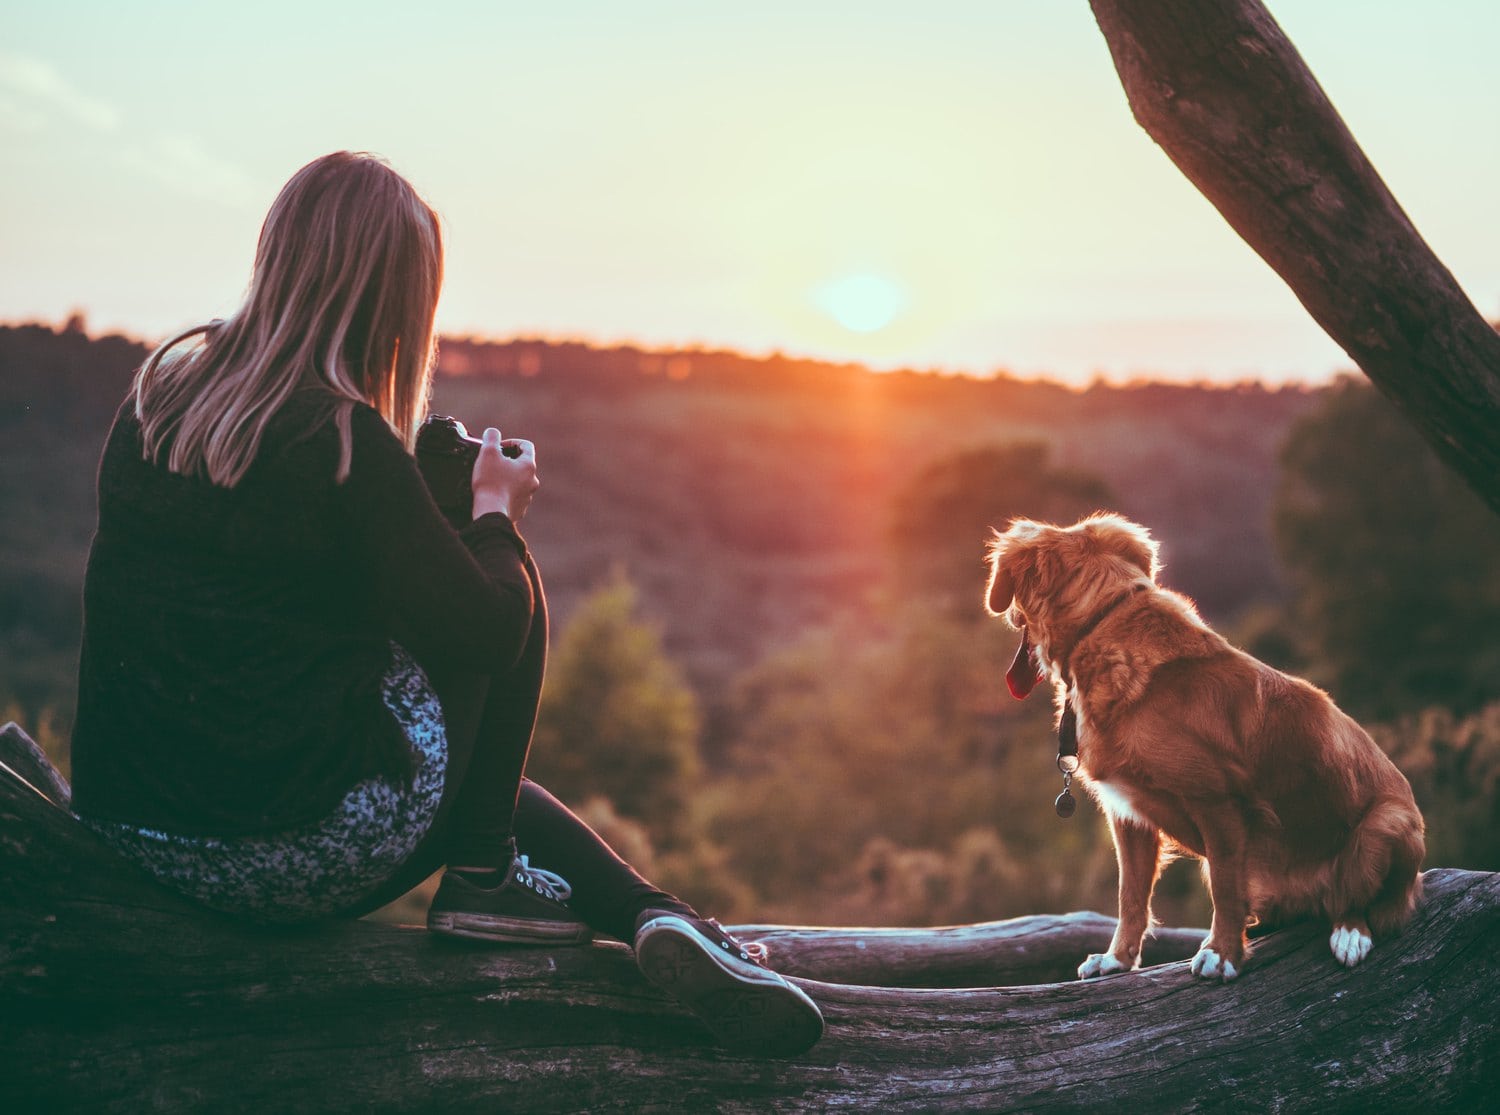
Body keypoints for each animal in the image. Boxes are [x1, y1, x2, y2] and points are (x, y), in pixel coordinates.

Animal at [990, 510, 1422, 978]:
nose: (1008, 614)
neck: (1101, 626)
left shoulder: (1218, 802)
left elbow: (1225, 889)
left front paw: (1222, 953)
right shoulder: (1129, 815)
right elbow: (1131, 897)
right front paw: (1118, 959)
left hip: (1387, 825)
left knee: (1361, 901)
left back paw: (1349, 934)